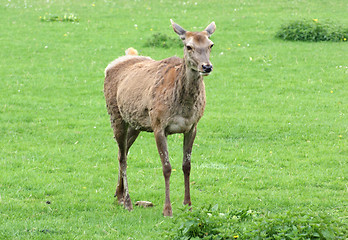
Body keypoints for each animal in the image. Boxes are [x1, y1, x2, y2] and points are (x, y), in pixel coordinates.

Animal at [104, 19, 216, 217]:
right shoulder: (158, 125)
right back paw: (127, 202)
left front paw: (188, 205)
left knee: (121, 152)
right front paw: (167, 209)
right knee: (123, 157)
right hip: (115, 115)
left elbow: (187, 165)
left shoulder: (192, 126)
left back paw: (119, 195)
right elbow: (167, 167)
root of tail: (111, 65)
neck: (183, 106)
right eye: (188, 46)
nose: (207, 67)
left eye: (210, 44)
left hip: (135, 124)